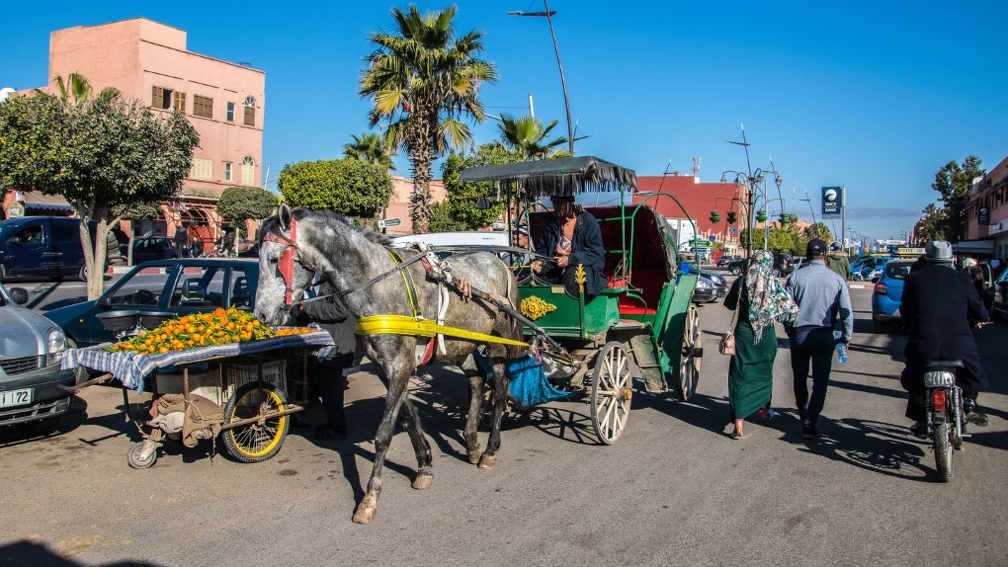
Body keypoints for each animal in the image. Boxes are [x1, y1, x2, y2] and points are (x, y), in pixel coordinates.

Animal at [256, 204, 524, 524]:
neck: (379, 284)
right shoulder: (387, 367)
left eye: (274, 259)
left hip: (498, 340)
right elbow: (408, 419)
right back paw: (471, 443)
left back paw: (490, 450)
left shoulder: (399, 365)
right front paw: (424, 466)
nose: (260, 313)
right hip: (461, 345)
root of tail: (499, 263)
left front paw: (369, 498)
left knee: (499, 388)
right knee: (475, 381)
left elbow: (383, 433)